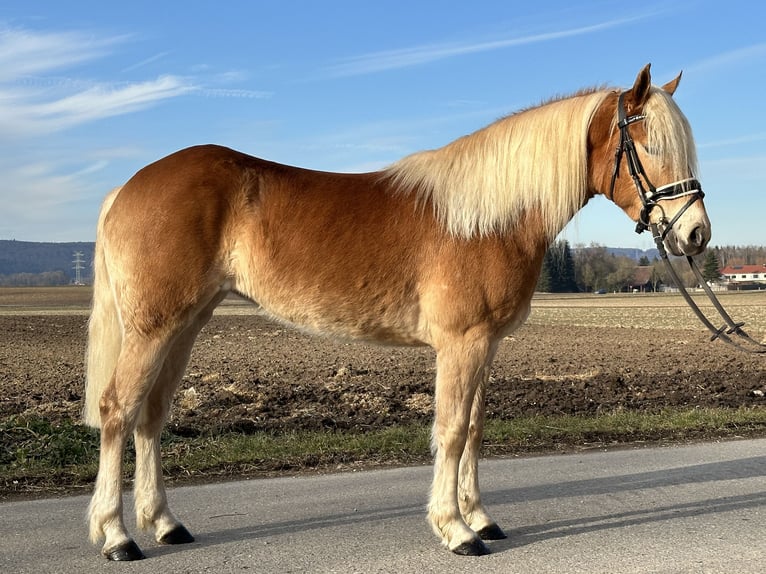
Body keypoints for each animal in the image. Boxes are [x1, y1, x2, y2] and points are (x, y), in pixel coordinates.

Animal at [84, 64, 712, 564]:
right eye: (650, 146)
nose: (696, 234)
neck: (488, 218)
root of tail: (125, 189)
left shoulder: (486, 345)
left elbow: (475, 428)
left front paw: (480, 517)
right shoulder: (461, 343)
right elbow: (451, 430)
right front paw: (456, 530)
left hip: (185, 324)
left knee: (151, 415)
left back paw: (165, 524)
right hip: (155, 327)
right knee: (118, 410)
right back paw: (117, 536)